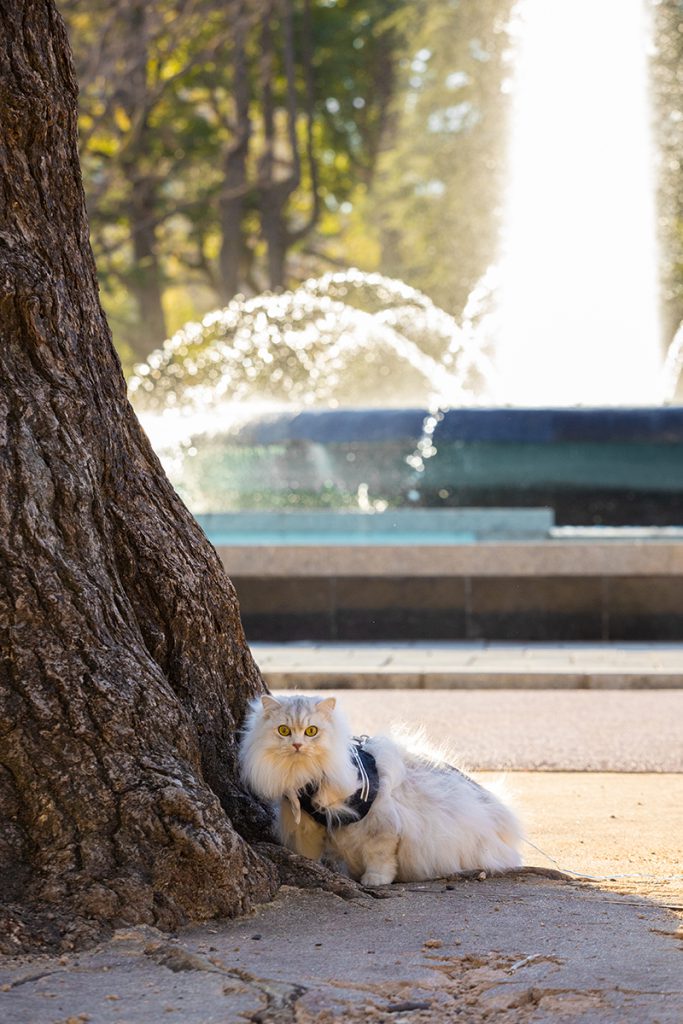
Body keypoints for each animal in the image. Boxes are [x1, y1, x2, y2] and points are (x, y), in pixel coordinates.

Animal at [240, 692, 524, 884]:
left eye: (311, 731)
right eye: (283, 730)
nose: (297, 745)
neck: (306, 777)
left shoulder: (381, 824)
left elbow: (380, 857)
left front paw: (375, 880)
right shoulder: (307, 828)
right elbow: (308, 854)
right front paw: (312, 867)